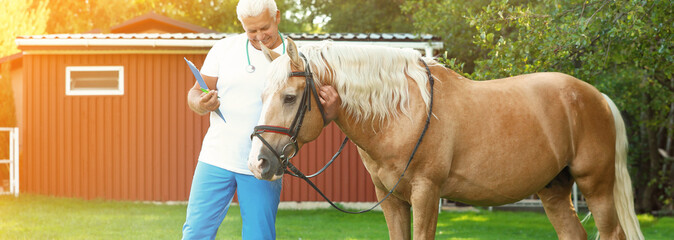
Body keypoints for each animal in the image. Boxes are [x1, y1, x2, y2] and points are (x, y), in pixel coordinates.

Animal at [247, 38, 640, 239]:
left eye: (290, 97)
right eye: (262, 95)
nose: (257, 163)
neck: (403, 113)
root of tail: (595, 97)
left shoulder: (426, 193)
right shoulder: (391, 200)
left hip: (596, 187)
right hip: (554, 190)